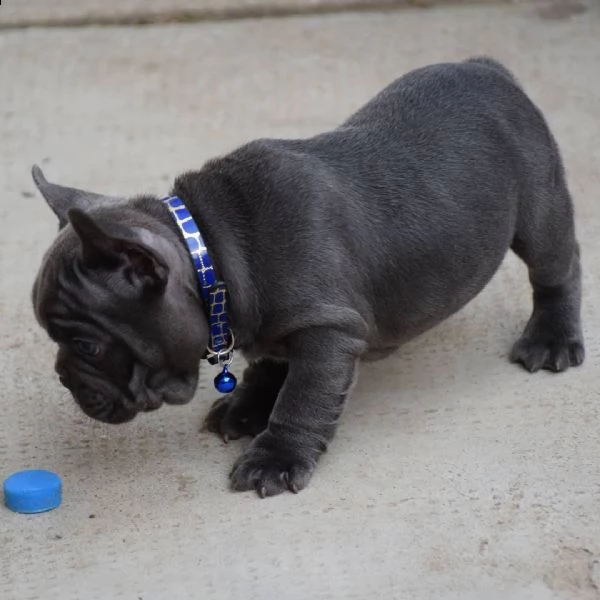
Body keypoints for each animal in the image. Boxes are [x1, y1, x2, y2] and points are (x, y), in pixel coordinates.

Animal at [31, 57, 580, 496]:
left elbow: (302, 397)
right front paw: (245, 409)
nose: (62, 376)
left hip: (538, 205)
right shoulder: (276, 325)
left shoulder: (328, 332)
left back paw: (552, 338)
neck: (214, 248)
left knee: (557, 265)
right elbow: (270, 366)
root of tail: (487, 67)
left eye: (86, 346)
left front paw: (274, 458)